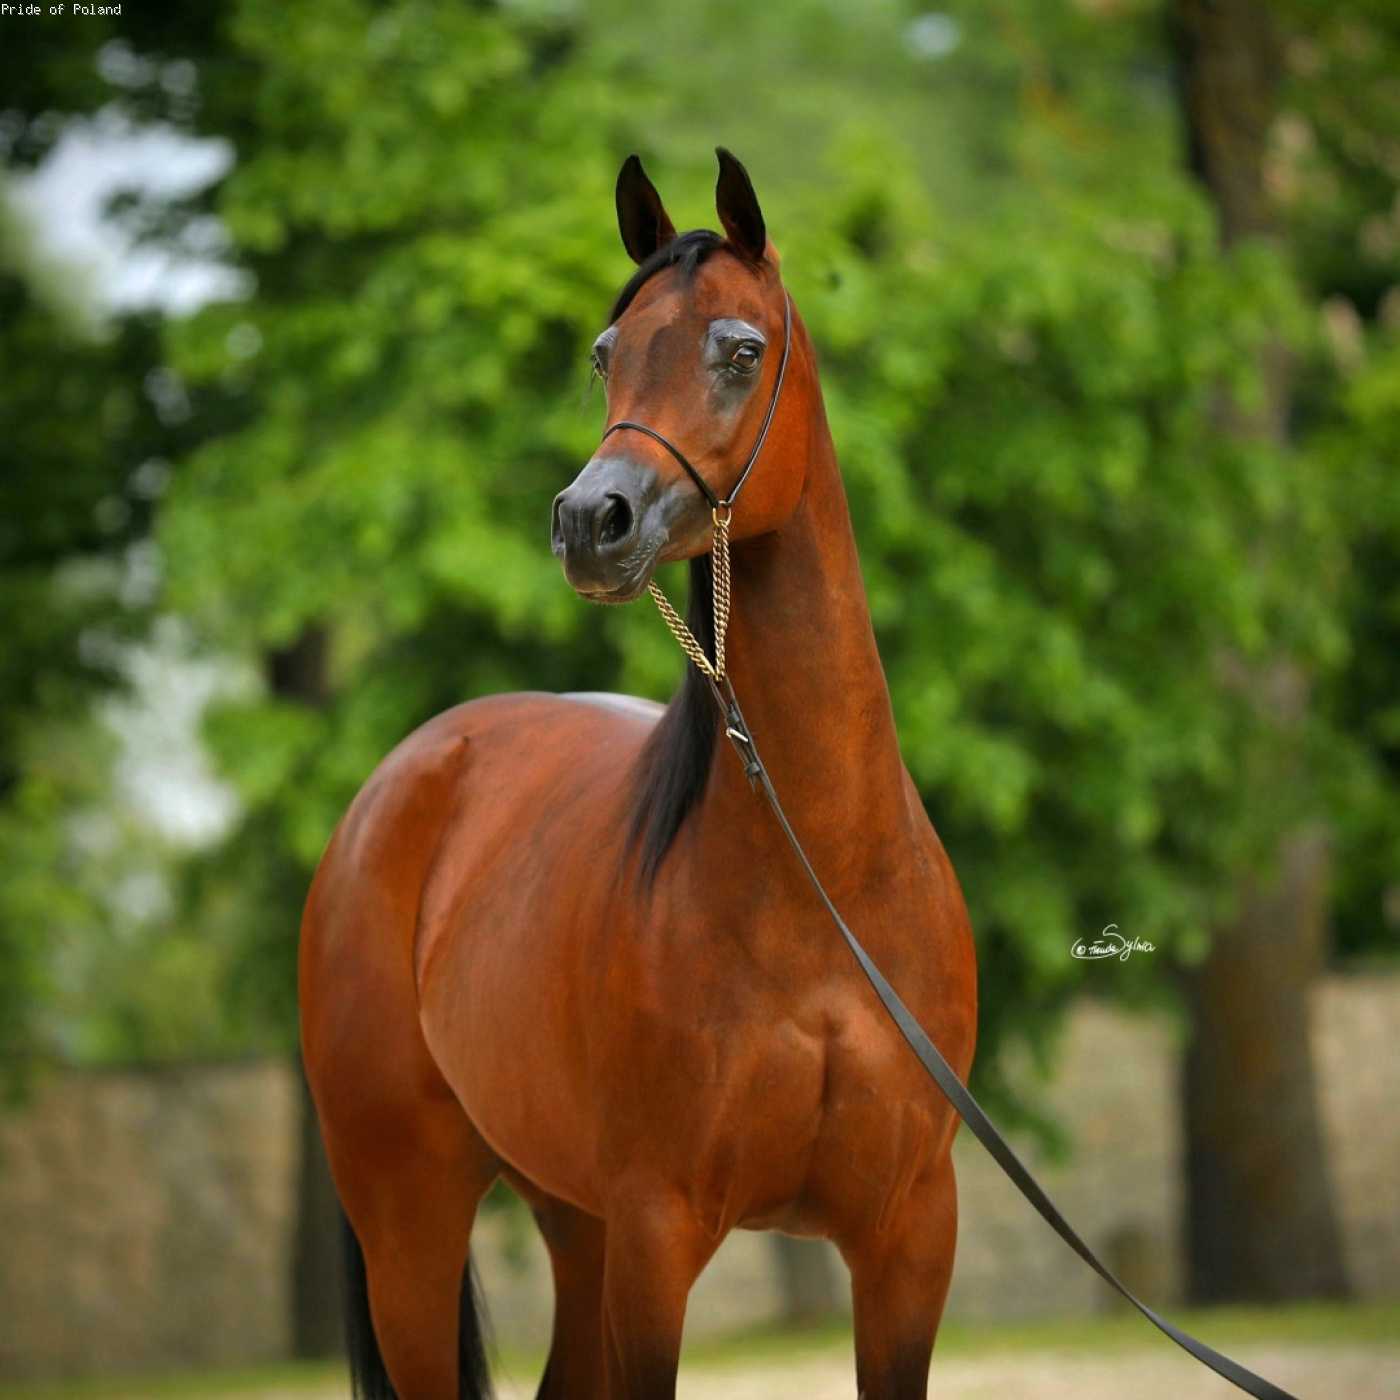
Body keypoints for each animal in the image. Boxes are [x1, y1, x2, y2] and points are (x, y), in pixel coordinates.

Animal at [300, 147, 978, 1400]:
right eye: (605, 352)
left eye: (739, 349)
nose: (588, 519)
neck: (820, 879)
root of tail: (401, 783)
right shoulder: (658, 1238)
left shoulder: (910, 1234)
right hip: (412, 1218)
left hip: (574, 1220)